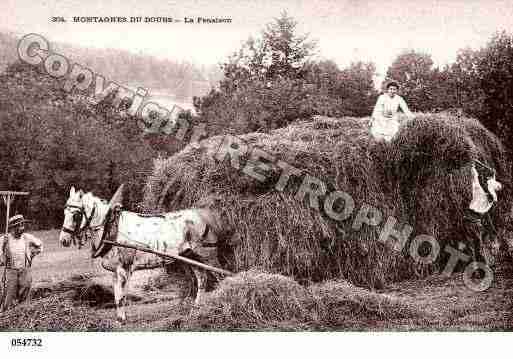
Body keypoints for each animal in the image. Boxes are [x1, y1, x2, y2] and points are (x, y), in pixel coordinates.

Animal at [58, 187, 222, 322]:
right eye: (64, 212)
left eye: (76, 214)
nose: (63, 240)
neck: (112, 228)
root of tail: (204, 214)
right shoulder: (115, 271)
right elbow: (117, 296)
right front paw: (119, 319)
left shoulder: (124, 269)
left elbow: (122, 296)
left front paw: (122, 319)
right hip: (190, 257)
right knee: (201, 279)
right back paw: (196, 308)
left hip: (207, 255)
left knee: (220, 276)